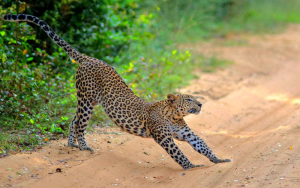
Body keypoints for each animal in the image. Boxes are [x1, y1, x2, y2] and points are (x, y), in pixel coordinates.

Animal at [3, 13, 231, 170]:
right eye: (189, 99)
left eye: (195, 99)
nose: (200, 104)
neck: (173, 115)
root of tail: (88, 58)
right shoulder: (164, 136)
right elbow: (177, 152)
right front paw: (191, 166)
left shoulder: (186, 134)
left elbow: (203, 145)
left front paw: (219, 159)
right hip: (86, 99)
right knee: (80, 124)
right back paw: (84, 147)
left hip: (88, 100)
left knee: (74, 120)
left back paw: (72, 145)